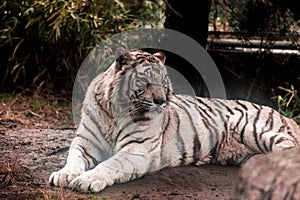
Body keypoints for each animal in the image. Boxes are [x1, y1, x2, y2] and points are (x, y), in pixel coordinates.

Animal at [49, 48, 300, 192]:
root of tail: (288, 118)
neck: (116, 113)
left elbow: (110, 164)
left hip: (249, 126)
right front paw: (64, 175)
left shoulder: (138, 149)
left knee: (289, 148)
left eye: (164, 83)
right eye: (146, 83)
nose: (161, 101)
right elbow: (73, 158)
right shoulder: (85, 142)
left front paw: (87, 180)